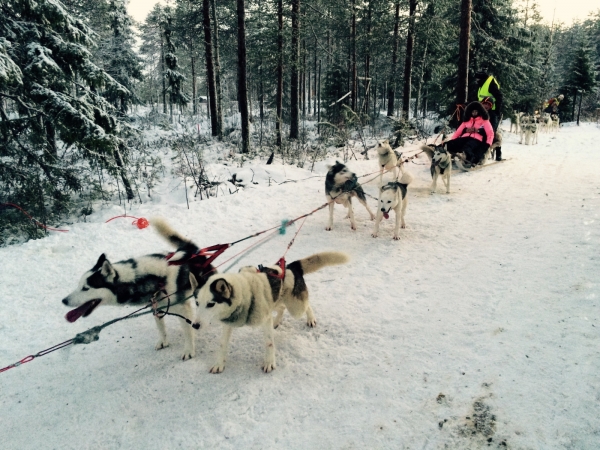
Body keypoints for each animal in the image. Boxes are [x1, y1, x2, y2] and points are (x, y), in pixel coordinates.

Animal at [62, 216, 212, 360]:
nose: (64, 301)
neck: (150, 278)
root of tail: (189, 250)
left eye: (86, 288)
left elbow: (188, 332)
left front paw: (189, 350)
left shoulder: (183, 310)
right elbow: (161, 328)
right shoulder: (156, 308)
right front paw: (163, 341)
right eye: (79, 285)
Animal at [192, 253, 350, 372]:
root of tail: (290, 267)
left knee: (306, 305)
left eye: (210, 304)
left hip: (295, 308)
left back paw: (310, 319)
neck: (244, 294)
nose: (195, 325)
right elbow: (222, 344)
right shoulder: (229, 322)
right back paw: (277, 321)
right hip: (276, 302)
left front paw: (269, 362)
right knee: (282, 308)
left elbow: (269, 343)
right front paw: (219, 363)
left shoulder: (265, 318)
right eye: (197, 303)